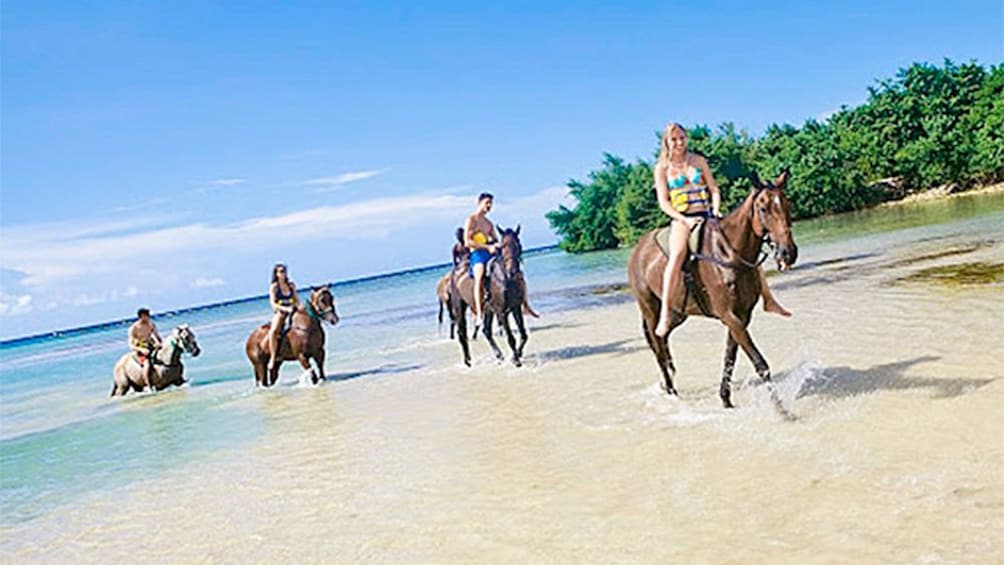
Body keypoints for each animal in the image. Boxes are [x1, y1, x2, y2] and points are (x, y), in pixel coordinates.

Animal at [449, 225, 530, 367]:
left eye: (518, 244)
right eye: (503, 246)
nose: (513, 271)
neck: (504, 277)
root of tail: (456, 270)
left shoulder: (516, 307)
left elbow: (524, 334)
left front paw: (516, 355)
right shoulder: (501, 312)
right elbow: (511, 338)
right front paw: (516, 360)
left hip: (487, 309)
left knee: (486, 331)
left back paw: (499, 355)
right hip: (459, 307)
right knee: (462, 332)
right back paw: (467, 361)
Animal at [626, 170, 799, 409]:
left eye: (787, 205)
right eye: (763, 208)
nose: (788, 253)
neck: (728, 253)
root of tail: (637, 249)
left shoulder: (741, 316)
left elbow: (730, 358)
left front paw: (725, 399)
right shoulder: (729, 315)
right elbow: (759, 363)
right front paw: (782, 410)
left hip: (676, 313)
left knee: (663, 342)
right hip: (651, 311)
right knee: (658, 347)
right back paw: (670, 391)